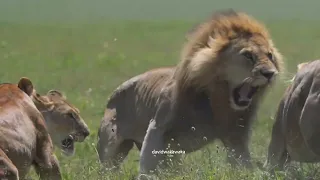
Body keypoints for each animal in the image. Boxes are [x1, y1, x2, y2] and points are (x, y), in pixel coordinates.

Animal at [97, 9, 282, 176]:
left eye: (270, 56)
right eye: (248, 55)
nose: (270, 73)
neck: (217, 99)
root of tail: (114, 93)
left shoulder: (236, 135)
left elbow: (243, 162)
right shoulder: (158, 127)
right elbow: (148, 162)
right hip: (112, 147)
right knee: (108, 168)